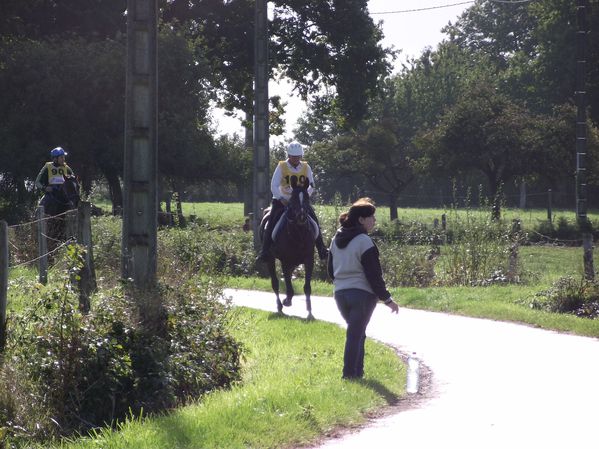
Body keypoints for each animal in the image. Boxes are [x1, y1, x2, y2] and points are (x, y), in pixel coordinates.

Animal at [260, 177, 322, 320]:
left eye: (306, 198)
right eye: (293, 198)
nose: (301, 217)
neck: (298, 233)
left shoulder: (308, 260)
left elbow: (307, 287)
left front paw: (310, 313)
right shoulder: (285, 261)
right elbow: (288, 285)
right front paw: (287, 301)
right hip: (271, 259)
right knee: (275, 283)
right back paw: (279, 307)